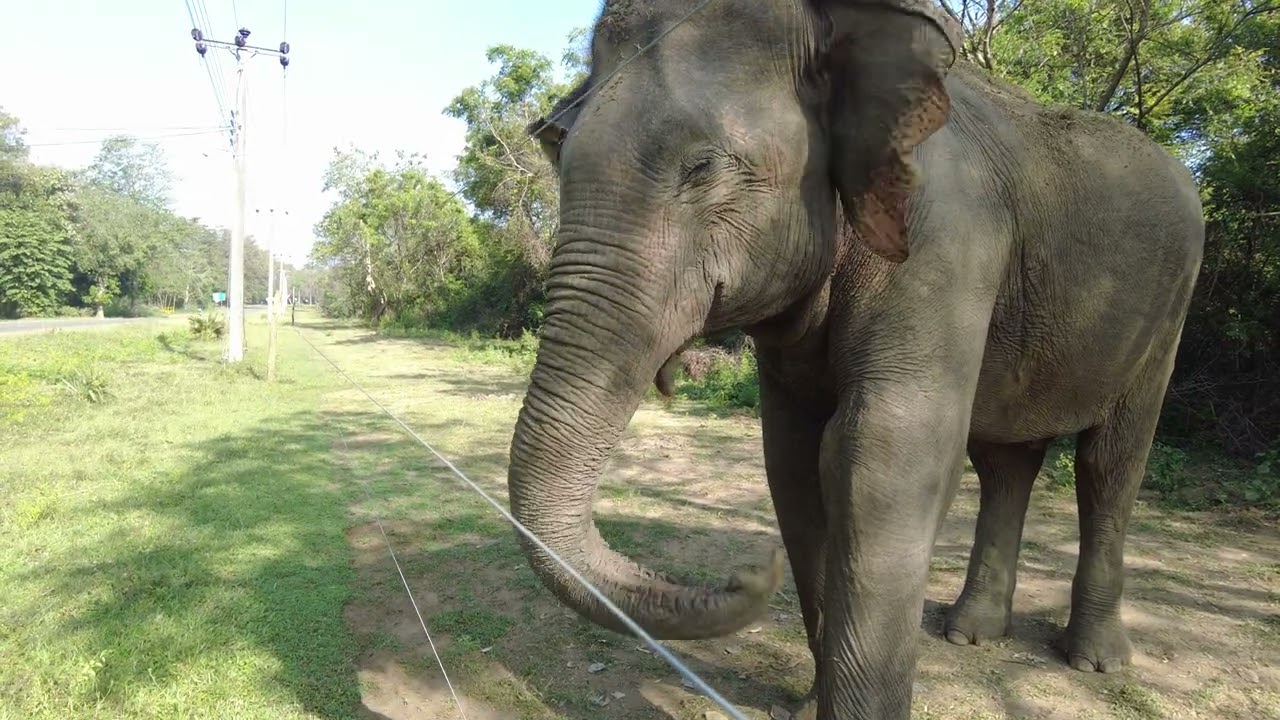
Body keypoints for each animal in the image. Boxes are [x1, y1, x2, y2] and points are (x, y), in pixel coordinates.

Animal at [503, 0, 1205, 717]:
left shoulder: (945, 239)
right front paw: (810, 706)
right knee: (1006, 462)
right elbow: (793, 461)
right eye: (557, 151)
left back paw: (1094, 659)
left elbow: (877, 455)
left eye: (702, 169)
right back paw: (970, 634)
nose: (750, 572)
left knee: (1109, 464)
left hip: (1169, 311)